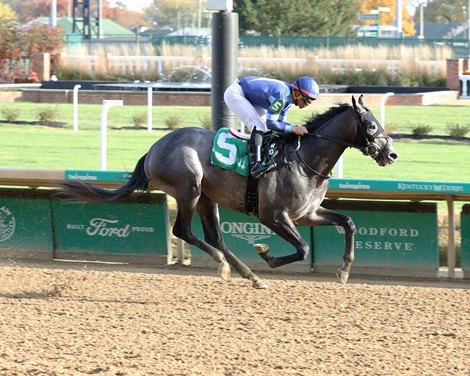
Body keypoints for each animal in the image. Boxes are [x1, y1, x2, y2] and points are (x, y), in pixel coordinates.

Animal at [57, 96, 396, 288]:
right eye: (370, 125)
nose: (391, 155)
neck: (305, 159)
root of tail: (153, 149)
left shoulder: (307, 214)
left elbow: (348, 223)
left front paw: (344, 271)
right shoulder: (274, 216)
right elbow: (302, 248)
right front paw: (266, 253)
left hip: (208, 198)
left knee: (214, 236)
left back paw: (250, 276)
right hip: (190, 188)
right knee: (183, 230)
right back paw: (226, 265)